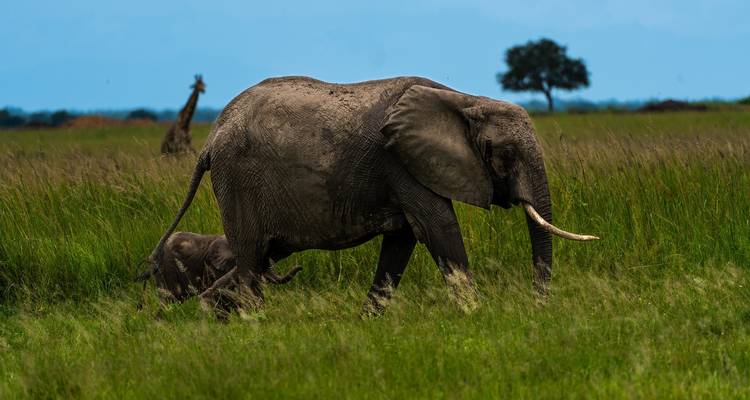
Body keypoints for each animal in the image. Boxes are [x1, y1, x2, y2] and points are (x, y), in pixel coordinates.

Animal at [146, 76, 598, 313]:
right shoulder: (402, 163)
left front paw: (369, 321)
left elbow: (400, 243)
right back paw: (249, 324)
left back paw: (195, 316)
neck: (464, 99)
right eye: (504, 154)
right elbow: (438, 229)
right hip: (239, 181)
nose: (537, 309)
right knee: (249, 262)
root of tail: (211, 137)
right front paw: (477, 317)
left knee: (256, 261)